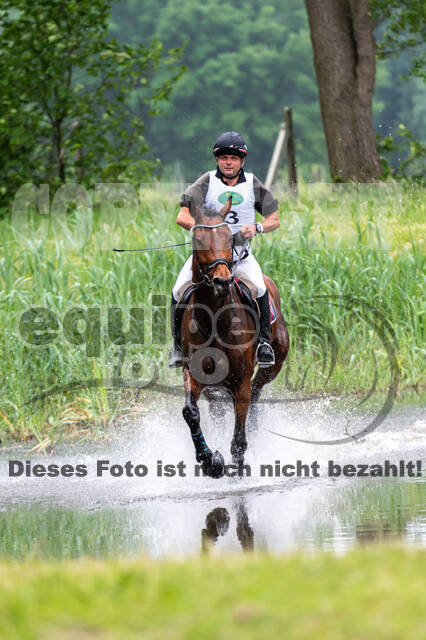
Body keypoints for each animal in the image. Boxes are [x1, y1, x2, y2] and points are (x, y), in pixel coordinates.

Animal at [180, 198, 289, 477]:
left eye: (228, 237)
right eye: (198, 238)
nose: (222, 281)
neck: (214, 319)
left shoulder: (241, 379)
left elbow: (239, 437)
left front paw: (237, 469)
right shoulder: (195, 374)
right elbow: (190, 412)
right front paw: (210, 461)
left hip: (274, 363)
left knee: (257, 389)